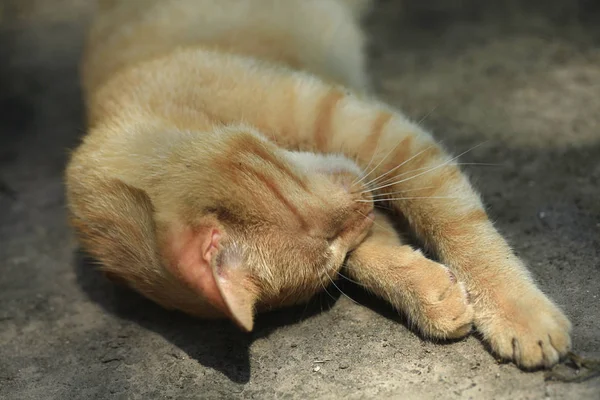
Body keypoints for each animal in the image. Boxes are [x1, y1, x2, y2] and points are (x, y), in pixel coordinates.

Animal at [65, 0, 572, 368]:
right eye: (328, 249)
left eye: (296, 197)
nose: (363, 203)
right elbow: (370, 253)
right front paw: (429, 293)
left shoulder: (382, 135)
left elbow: (458, 225)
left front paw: (518, 313)